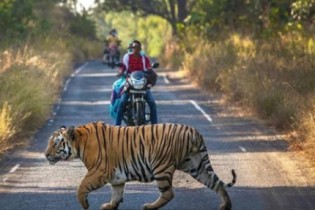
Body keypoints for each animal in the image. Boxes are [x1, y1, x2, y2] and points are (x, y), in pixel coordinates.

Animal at [44, 121, 237, 210]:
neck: (79, 142)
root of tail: (194, 131)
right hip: (195, 165)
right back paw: (225, 205)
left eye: (56, 143)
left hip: (161, 167)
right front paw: (110, 206)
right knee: (216, 183)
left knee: (169, 193)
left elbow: (81, 187)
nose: (45, 154)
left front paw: (84, 204)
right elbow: (116, 193)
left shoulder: (98, 171)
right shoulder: (116, 176)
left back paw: (149, 206)